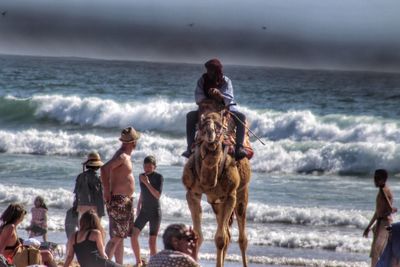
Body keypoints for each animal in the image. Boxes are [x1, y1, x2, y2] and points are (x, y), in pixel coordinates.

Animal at [183, 104, 252, 267]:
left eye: (219, 125)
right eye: (202, 125)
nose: (210, 133)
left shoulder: (230, 195)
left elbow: (221, 239)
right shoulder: (192, 193)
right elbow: (198, 236)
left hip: (242, 192)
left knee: (241, 238)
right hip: (215, 201)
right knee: (227, 232)